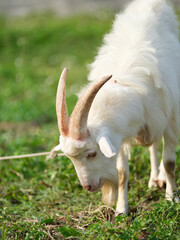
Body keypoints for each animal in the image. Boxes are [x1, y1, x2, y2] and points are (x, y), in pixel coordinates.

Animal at [54, 0, 180, 215]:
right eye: (71, 158)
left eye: (92, 153)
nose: (88, 187)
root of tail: (151, 3)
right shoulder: (119, 135)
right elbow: (122, 173)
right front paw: (122, 209)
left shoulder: (170, 119)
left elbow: (170, 162)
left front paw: (172, 198)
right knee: (153, 145)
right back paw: (154, 179)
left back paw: (161, 178)